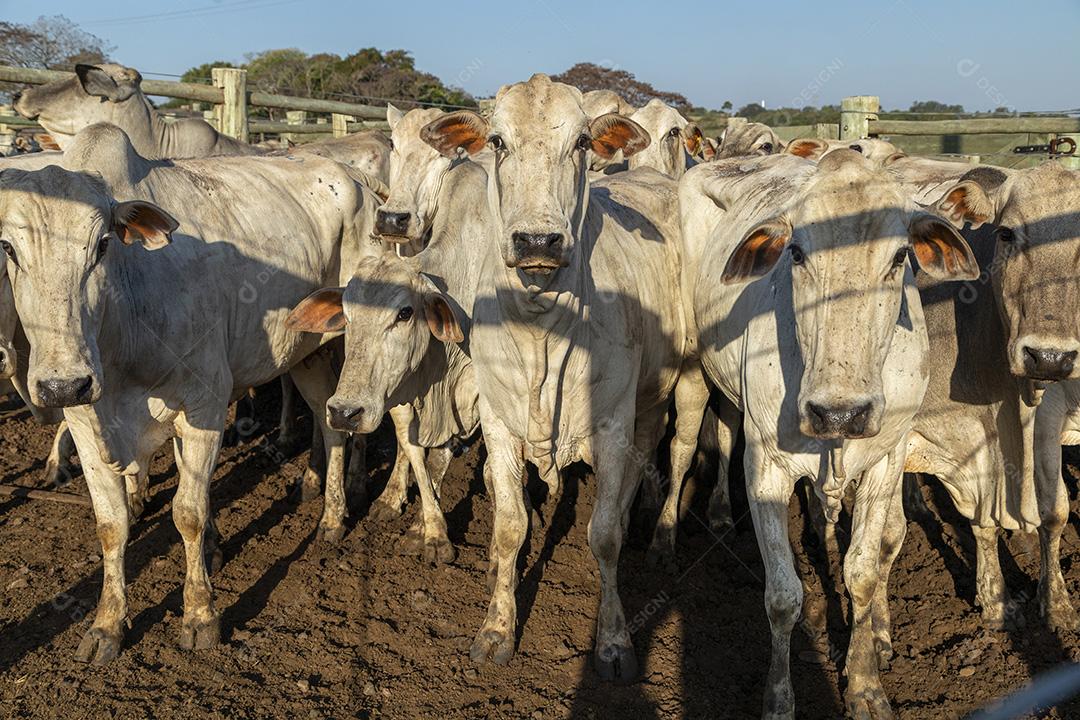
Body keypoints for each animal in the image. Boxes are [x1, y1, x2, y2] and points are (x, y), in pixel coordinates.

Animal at [0, 123, 387, 663]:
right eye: (8, 248)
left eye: (102, 245)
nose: (62, 382)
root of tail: (358, 180)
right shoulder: (85, 420)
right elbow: (111, 524)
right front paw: (107, 625)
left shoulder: (204, 405)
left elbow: (189, 512)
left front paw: (201, 614)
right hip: (306, 349)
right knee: (327, 419)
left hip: (359, 343)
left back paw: (338, 512)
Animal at [418, 74, 697, 681]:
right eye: (497, 141)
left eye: (583, 143)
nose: (537, 241)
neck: (542, 328)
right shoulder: (499, 424)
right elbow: (508, 526)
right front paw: (496, 630)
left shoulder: (611, 427)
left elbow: (605, 535)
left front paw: (613, 642)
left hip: (689, 383)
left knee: (680, 449)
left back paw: (662, 538)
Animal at [679, 149, 978, 717]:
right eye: (796, 252)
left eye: (900, 256)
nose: (839, 413)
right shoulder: (765, 468)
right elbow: (783, 596)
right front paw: (778, 698)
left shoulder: (886, 461)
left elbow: (862, 572)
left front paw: (865, 685)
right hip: (695, 372)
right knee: (707, 437)